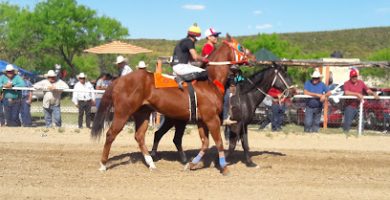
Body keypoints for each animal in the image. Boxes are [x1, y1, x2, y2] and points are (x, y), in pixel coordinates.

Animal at [91, 34, 256, 175]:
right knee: (111, 134)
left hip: (143, 114)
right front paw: (224, 167)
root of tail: (118, 80)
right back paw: (103, 164)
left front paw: (191, 164)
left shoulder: (202, 121)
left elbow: (205, 144)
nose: (253, 58)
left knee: (139, 137)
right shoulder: (211, 119)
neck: (211, 81)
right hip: (123, 113)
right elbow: (219, 142)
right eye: (241, 47)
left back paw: (151, 164)